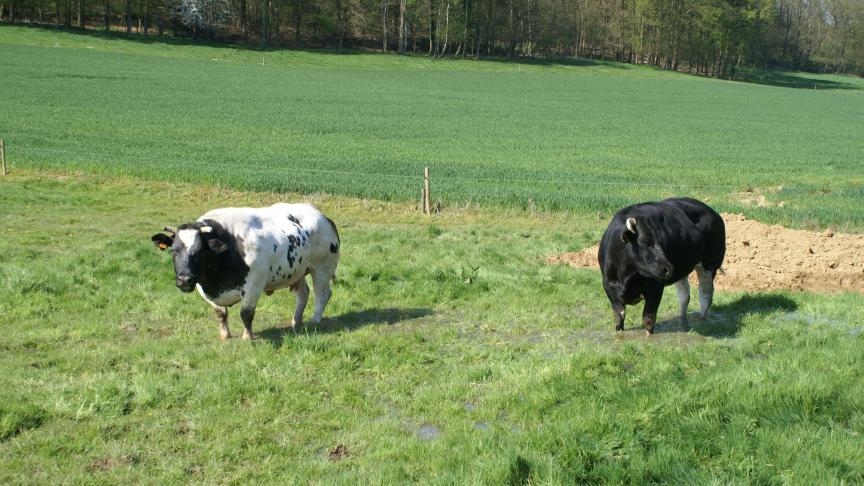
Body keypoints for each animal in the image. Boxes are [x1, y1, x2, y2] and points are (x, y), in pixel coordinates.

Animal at [150, 203, 340, 340]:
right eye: (173, 251)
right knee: (303, 294)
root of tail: (323, 217)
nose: (184, 279)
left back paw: (315, 321)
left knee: (322, 294)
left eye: (200, 251)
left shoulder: (254, 285)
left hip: (322, 268)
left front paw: (248, 337)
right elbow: (220, 313)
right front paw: (224, 335)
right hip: (298, 271)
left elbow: (246, 313)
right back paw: (296, 322)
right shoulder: (203, 288)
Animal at [596, 197, 724, 334]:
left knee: (705, 291)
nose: (668, 268)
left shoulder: (655, 287)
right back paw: (682, 322)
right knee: (684, 295)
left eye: (660, 241)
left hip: (710, 263)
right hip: (682, 268)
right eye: (644, 242)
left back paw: (702, 319)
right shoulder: (610, 289)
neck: (626, 276)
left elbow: (648, 318)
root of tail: (712, 211)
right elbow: (619, 317)